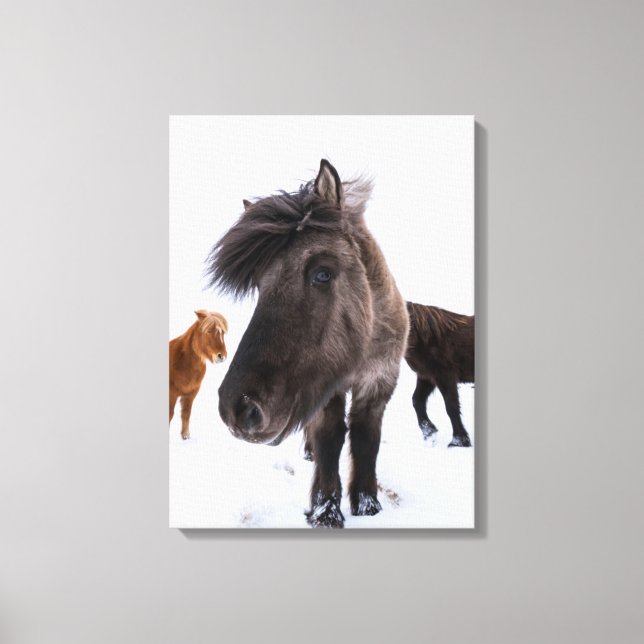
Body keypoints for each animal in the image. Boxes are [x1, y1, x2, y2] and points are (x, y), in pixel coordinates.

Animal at [169, 310, 228, 439]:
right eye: (209, 331)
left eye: (222, 333)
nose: (221, 356)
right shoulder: (171, 394)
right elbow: (170, 414)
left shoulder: (190, 394)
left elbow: (186, 414)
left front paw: (185, 436)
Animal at [207, 159, 409, 528]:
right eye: (259, 285)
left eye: (322, 274)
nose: (237, 409)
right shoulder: (326, 388)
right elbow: (330, 438)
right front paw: (325, 512)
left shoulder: (378, 384)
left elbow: (366, 440)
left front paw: (368, 505)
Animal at [404, 302, 474, 447]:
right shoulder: (426, 376)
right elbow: (417, 400)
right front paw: (430, 433)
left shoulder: (445, 376)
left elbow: (451, 407)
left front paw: (458, 441)